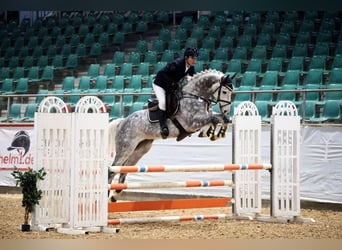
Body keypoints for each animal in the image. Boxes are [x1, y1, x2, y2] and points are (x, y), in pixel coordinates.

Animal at [107, 69, 235, 201]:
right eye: (224, 91)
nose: (226, 110)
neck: (194, 96)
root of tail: (122, 121)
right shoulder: (192, 123)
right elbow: (214, 117)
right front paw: (215, 132)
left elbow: (218, 118)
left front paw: (215, 132)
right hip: (126, 147)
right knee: (113, 169)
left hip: (140, 149)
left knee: (124, 169)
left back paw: (115, 195)